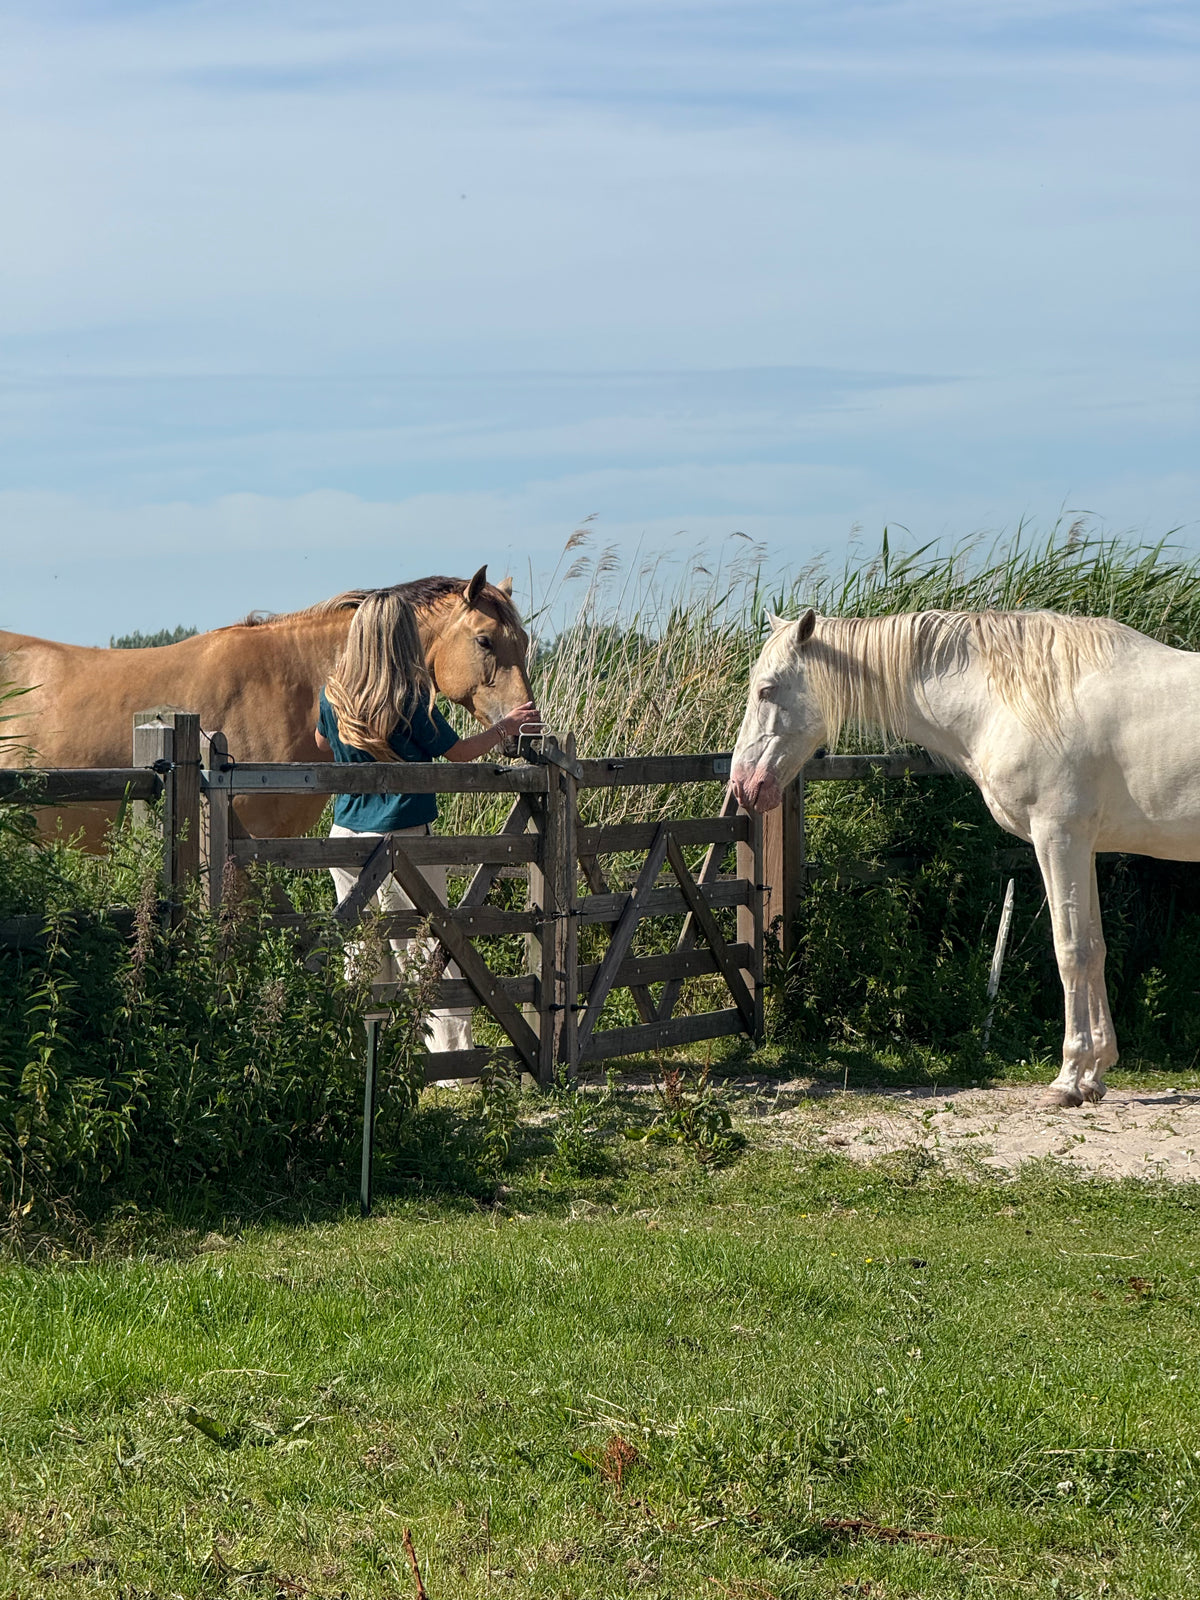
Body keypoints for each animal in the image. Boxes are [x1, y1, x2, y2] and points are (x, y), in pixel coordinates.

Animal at [729, 605, 1200, 1108]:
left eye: (766, 689)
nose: (742, 785)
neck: (1016, 700)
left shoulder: (1059, 839)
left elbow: (1070, 950)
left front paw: (1068, 1079)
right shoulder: (1082, 846)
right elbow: (1095, 948)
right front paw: (1094, 1075)